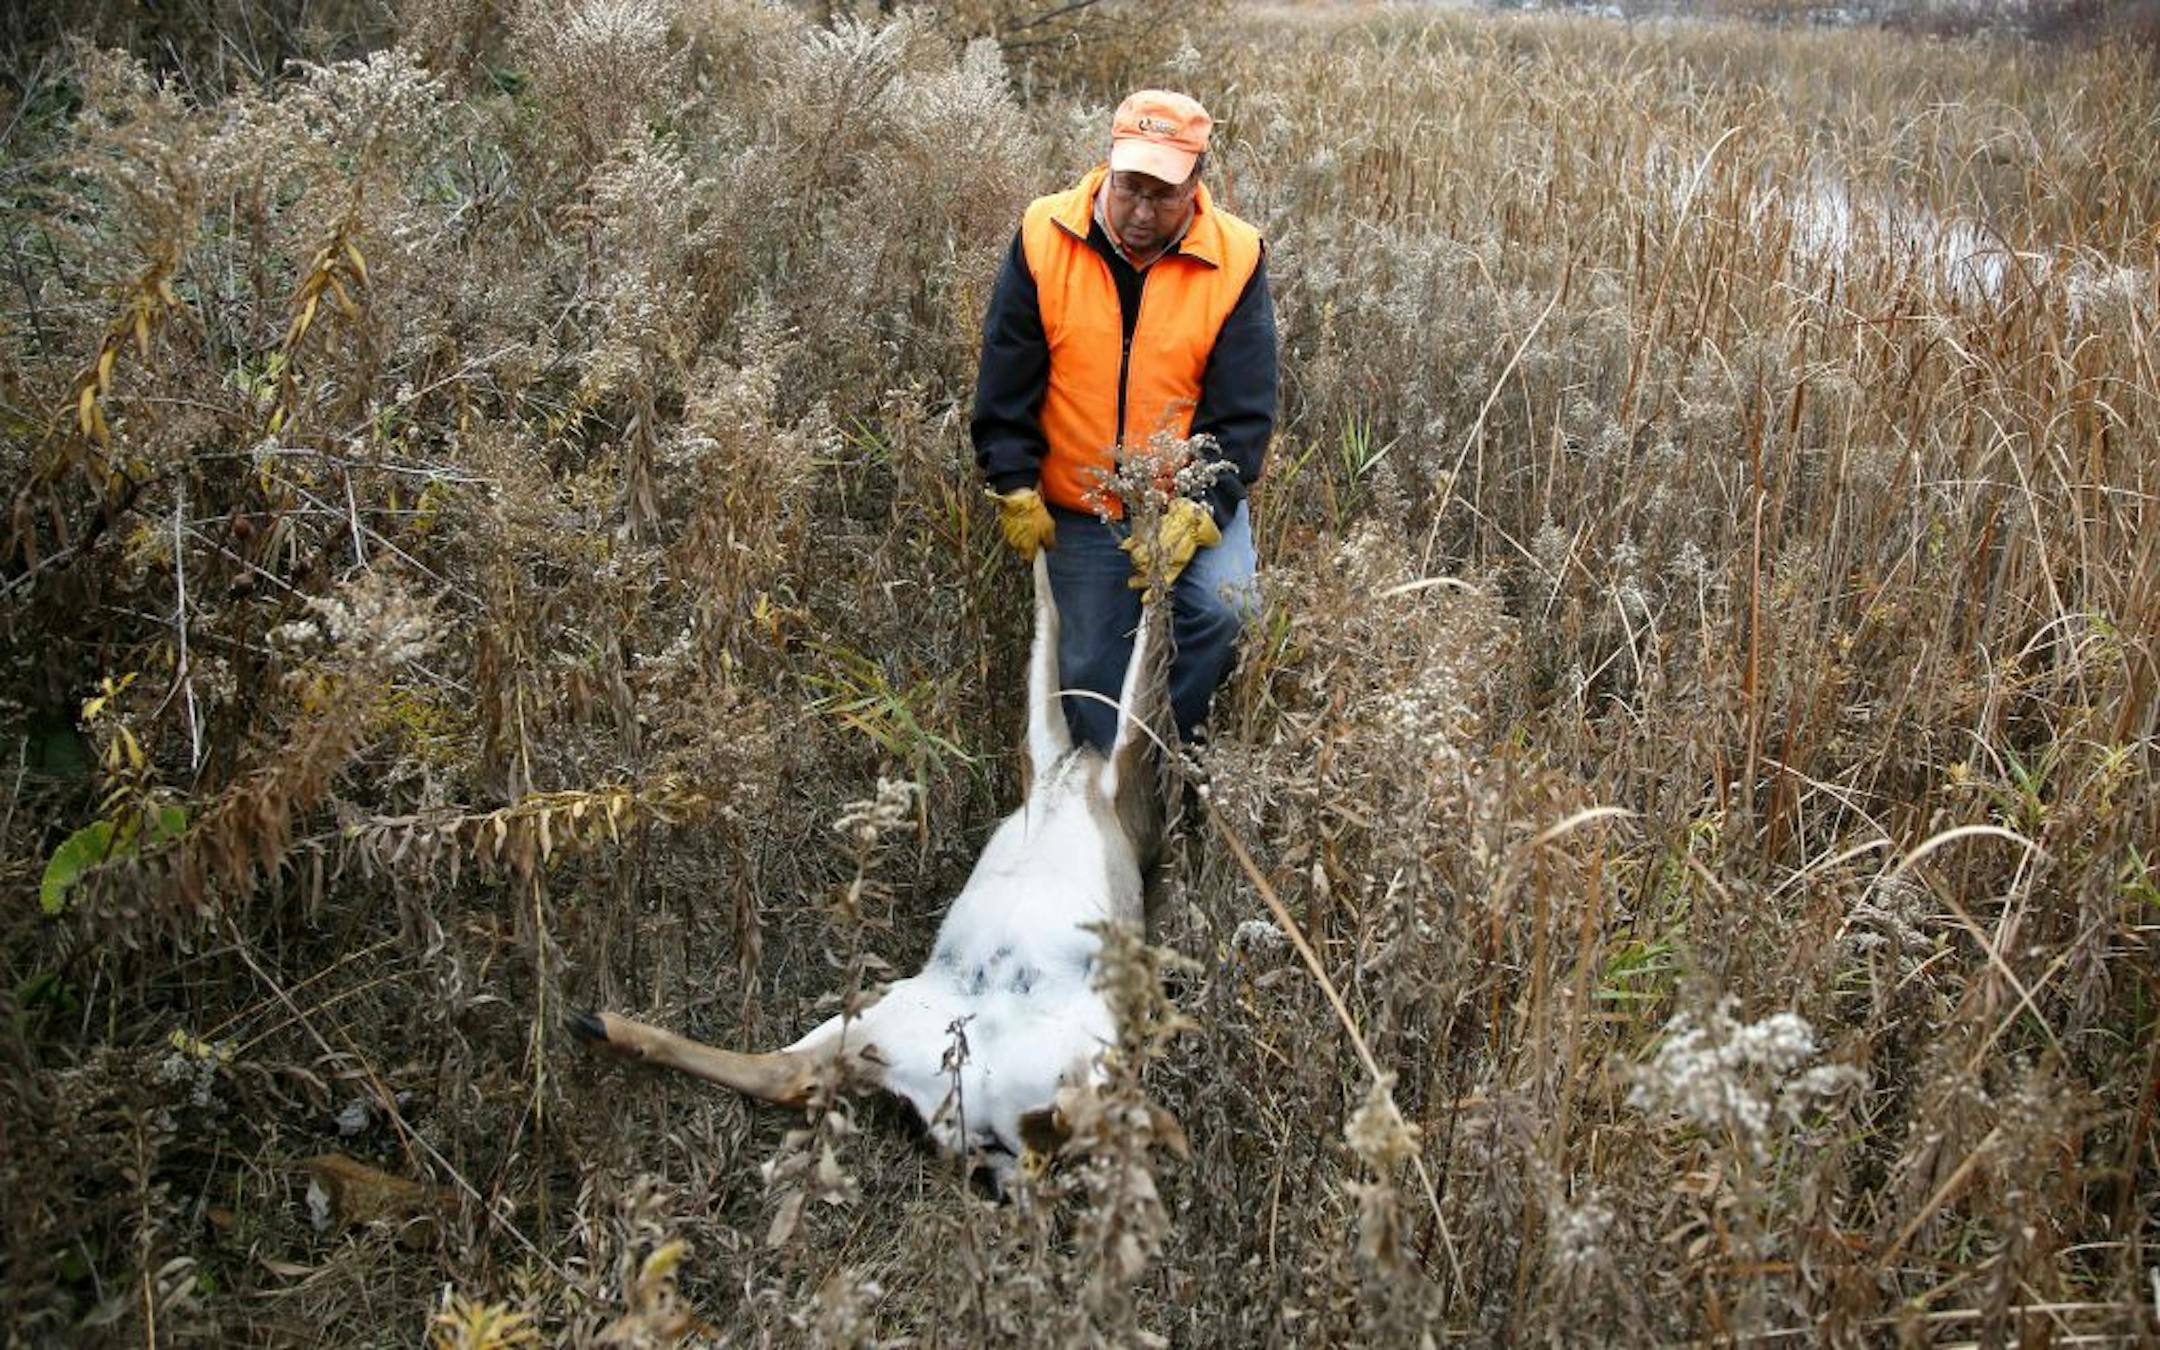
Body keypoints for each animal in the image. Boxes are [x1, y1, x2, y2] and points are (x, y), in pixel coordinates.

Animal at [568, 546, 1173, 1187]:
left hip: (904, 1031)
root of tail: (989, 1118)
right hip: (921, 1034)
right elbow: (1080, 630)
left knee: (786, 1072)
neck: (1069, 777)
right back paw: (599, 1024)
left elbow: (1092, 642)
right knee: (786, 1071)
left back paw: (597, 1025)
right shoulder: (1073, 757)